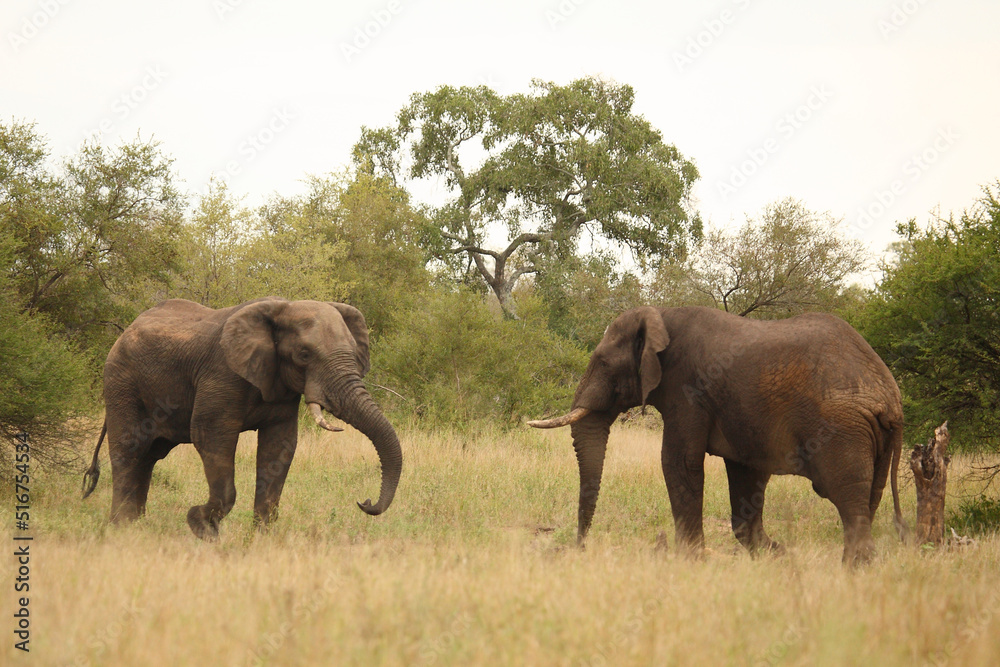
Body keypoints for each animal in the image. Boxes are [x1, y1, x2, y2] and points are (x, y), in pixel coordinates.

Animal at [81, 297, 402, 539]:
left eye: (354, 352)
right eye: (304, 354)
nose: (365, 502)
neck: (282, 306)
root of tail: (125, 331)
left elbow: (280, 446)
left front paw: (261, 538)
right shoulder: (222, 374)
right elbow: (210, 436)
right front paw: (202, 528)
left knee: (149, 457)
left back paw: (137, 526)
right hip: (121, 383)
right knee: (130, 451)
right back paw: (122, 529)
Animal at [529, 306, 908, 564]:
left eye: (604, 363)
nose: (578, 548)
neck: (661, 314)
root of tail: (891, 397)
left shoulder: (688, 389)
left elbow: (679, 462)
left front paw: (689, 559)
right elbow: (744, 474)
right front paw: (779, 556)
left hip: (842, 428)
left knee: (847, 498)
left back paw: (854, 571)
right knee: (867, 500)